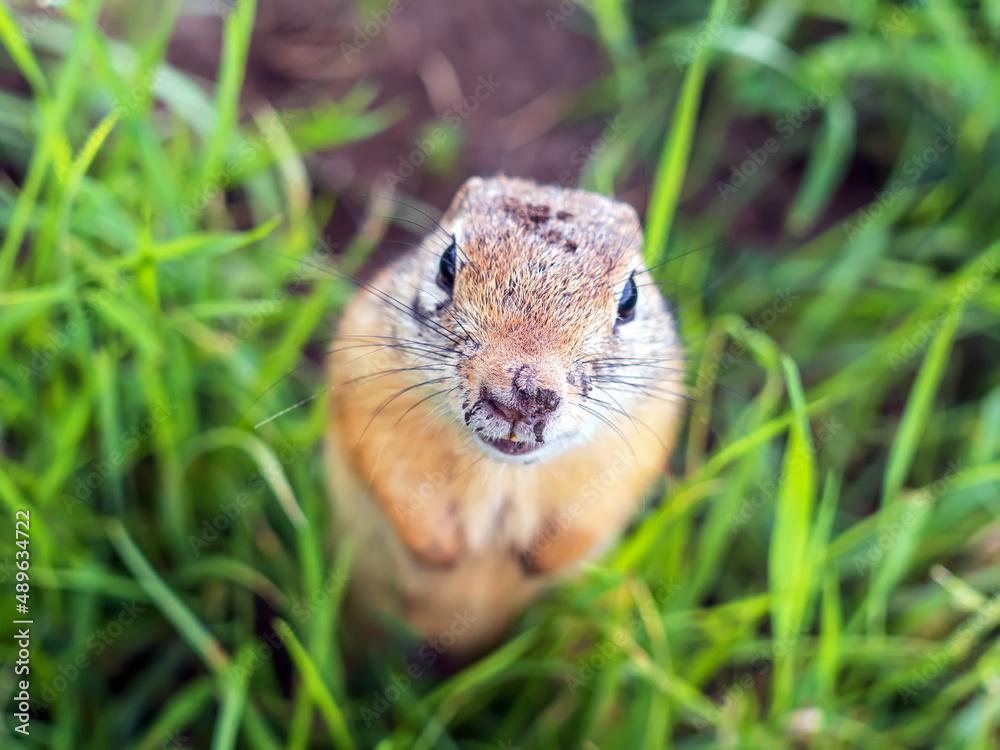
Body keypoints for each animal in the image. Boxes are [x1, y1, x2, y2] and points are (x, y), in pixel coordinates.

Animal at [324, 176, 684, 656]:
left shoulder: (644, 433)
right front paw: (439, 548)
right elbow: (392, 475)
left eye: (631, 298)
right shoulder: (364, 384)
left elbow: (601, 506)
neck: (501, 472)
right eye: (446, 262)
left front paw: (542, 560)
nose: (525, 397)